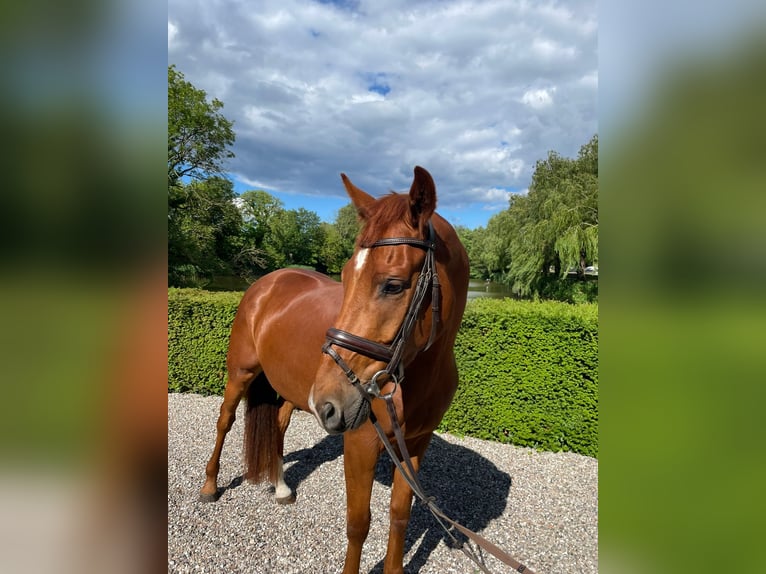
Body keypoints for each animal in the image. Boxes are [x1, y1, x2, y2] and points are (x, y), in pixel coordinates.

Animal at [199, 166, 469, 574]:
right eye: (343, 276)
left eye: (393, 285)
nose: (330, 403)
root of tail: (268, 281)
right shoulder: (360, 443)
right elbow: (359, 522)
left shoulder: (415, 445)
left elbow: (399, 515)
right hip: (241, 375)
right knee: (224, 421)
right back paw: (210, 486)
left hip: (293, 391)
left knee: (278, 425)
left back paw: (281, 486)